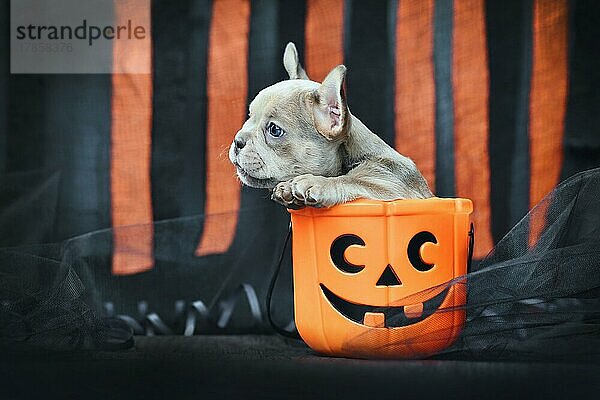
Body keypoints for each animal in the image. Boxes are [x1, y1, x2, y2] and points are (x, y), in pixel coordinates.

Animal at [229, 42, 432, 209]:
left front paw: (317, 183)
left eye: (275, 130)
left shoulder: (392, 183)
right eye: (249, 117)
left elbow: (354, 180)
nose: (237, 141)